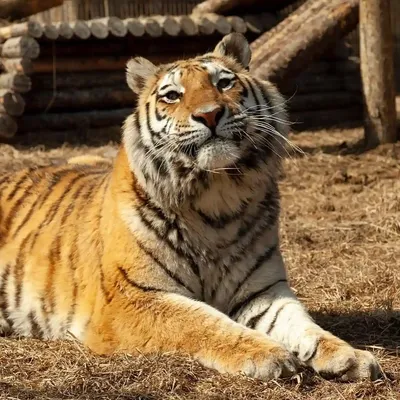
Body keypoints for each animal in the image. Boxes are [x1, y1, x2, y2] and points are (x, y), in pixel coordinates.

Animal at [0, 34, 382, 382]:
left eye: (224, 83)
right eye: (172, 95)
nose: (210, 114)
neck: (218, 197)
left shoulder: (263, 291)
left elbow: (303, 324)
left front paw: (351, 356)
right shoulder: (131, 298)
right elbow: (201, 322)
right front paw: (268, 354)